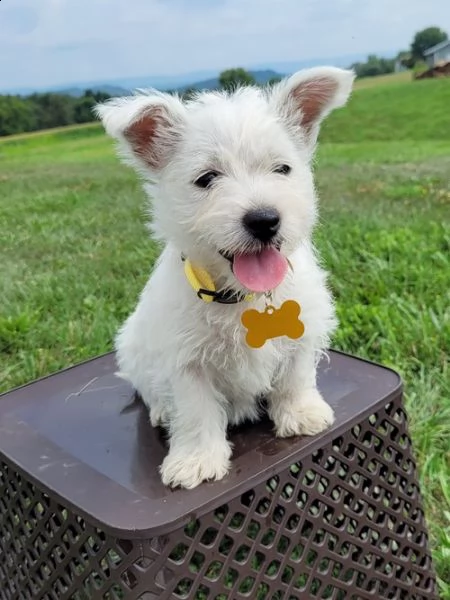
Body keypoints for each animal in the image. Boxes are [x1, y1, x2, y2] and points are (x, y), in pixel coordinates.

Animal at [96, 67, 356, 488]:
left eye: (282, 169)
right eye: (206, 178)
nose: (265, 219)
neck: (244, 295)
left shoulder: (303, 329)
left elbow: (296, 374)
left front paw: (300, 414)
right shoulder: (186, 362)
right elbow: (196, 410)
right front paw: (197, 460)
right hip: (133, 347)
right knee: (150, 390)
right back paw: (161, 411)